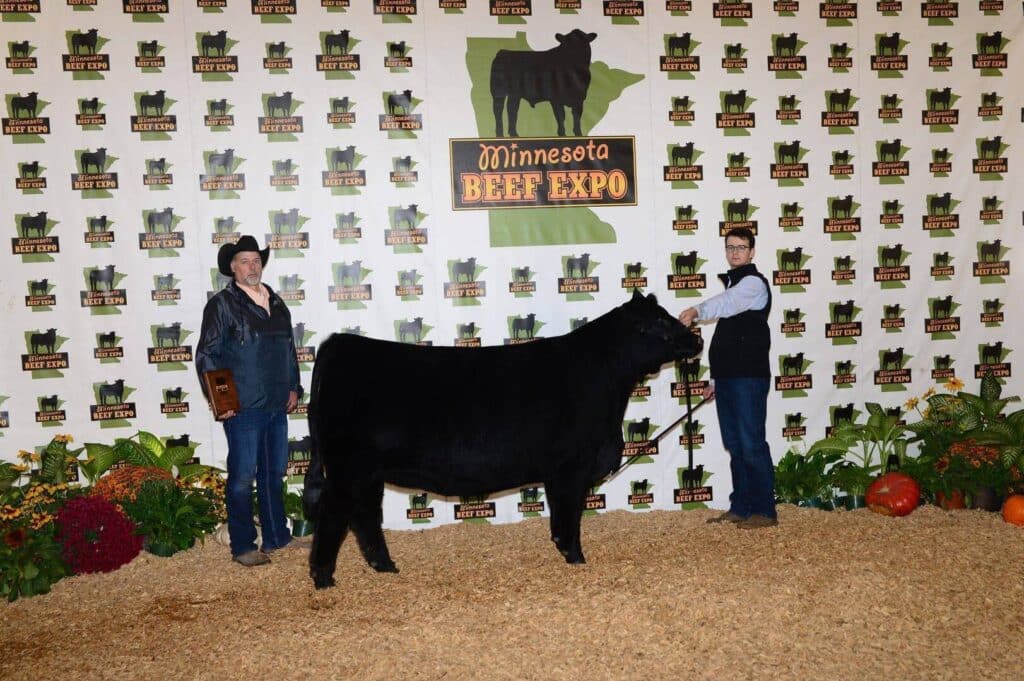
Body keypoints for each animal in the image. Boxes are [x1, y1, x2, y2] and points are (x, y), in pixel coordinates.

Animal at [302, 291, 702, 587]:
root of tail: (339, 343)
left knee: (364, 514)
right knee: (335, 513)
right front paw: (576, 558)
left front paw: (565, 553)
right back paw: (323, 579)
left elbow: (561, 518)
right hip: (348, 467)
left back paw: (385, 567)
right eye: (657, 322)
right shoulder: (571, 466)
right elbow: (569, 517)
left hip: (367, 471)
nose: (696, 338)